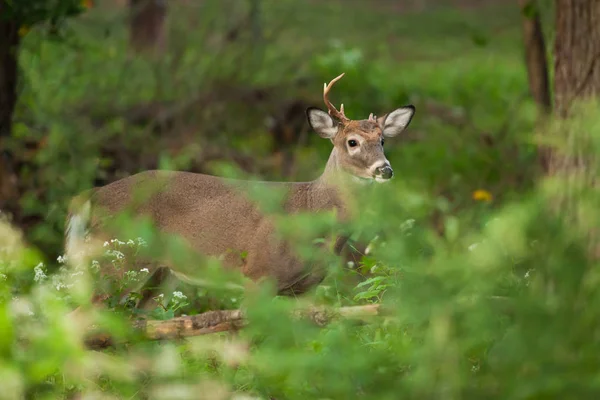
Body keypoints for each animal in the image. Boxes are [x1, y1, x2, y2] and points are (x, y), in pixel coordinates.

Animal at [63, 73, 414, 312]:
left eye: (383, 140)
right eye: (352, 142)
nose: (384, 169)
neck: (310, 210)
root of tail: (91, 195)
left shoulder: (304, 289)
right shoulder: (259, 274)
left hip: (160, 272)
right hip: (116, 258)